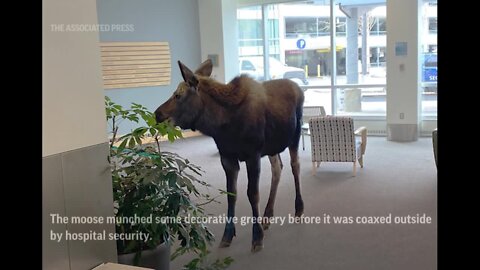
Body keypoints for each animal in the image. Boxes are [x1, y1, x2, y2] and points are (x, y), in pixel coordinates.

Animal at [154, 59, 304, 253]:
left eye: (178, 95)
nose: (157, 114)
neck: (222, 125)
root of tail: (298, 87)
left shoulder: (253, 154)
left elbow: (252, 194)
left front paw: (257, 238)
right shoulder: (227, 157)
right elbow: (231, 194)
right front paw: (227, 235)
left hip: (295, 135)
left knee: (295, 166)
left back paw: (298, 209)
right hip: (272, 147)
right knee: (278, 168)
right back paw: (267, 215)